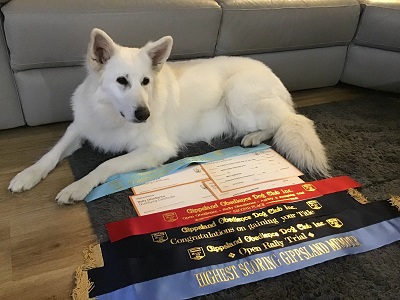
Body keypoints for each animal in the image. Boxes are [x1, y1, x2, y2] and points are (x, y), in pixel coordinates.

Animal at [9, 28, 328, 204]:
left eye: (146, 82)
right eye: (122, 81)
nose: (144, 114)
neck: (111, 114)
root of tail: (274, 76)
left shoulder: (156, 149)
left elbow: (106, 165)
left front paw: (78, 186)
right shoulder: (80, 127)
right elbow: (52, 153)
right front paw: (28, 175)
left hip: (237, 98)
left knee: (287, 120)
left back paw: (254, 136)